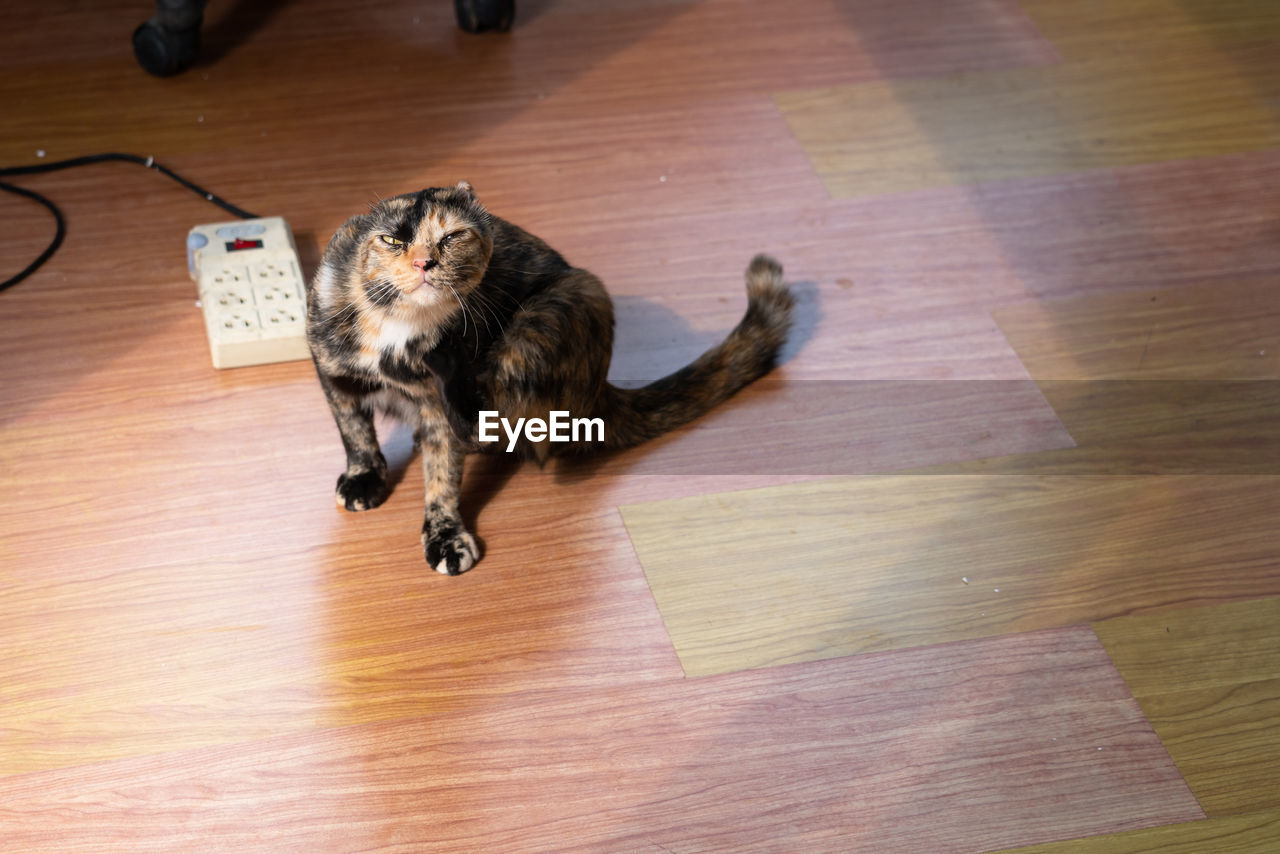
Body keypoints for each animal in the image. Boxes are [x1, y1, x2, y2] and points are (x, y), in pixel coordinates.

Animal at [305, 184, 793, 578]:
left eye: (452, 237)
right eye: (391, 239)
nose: (425, 262)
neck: (401, 330)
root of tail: (599, 388)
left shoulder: (436, 404)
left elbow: (442, 469)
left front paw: (445, 535)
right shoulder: (329, 369)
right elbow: (354, 429)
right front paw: (365, 477)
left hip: (546, 318)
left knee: (494, 425)